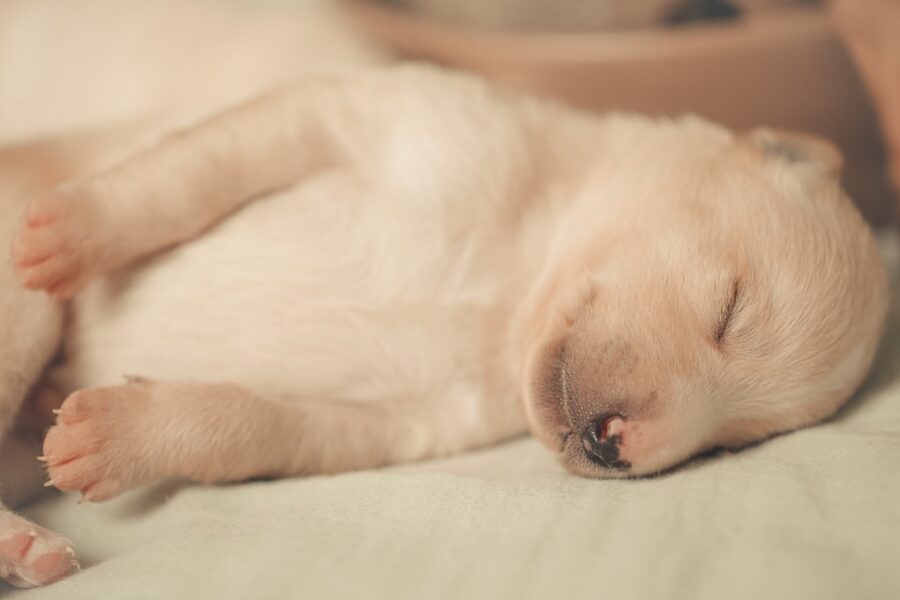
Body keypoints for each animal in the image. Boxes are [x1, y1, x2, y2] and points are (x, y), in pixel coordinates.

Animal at [0, 67, 888, 584]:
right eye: (728, 310)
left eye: (730, 442)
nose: (613, 447)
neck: (514, 292)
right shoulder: (342, 114)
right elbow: (187, 174)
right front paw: (71, 229)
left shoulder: (393, 425)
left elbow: (243, 423)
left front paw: (120, 434)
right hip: (26, 315)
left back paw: (26, 547)